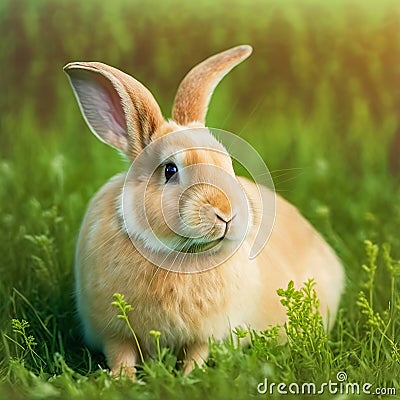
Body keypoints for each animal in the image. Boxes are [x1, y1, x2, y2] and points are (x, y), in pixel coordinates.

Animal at [64, 45, 346, 376]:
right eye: (170, 170)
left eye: (227, 162)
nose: (227, 213)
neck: (180, 254)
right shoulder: (114, 333)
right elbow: (120, 355)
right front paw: (122, 380)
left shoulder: (205, 334)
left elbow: (195, 354)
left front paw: (189, 378)